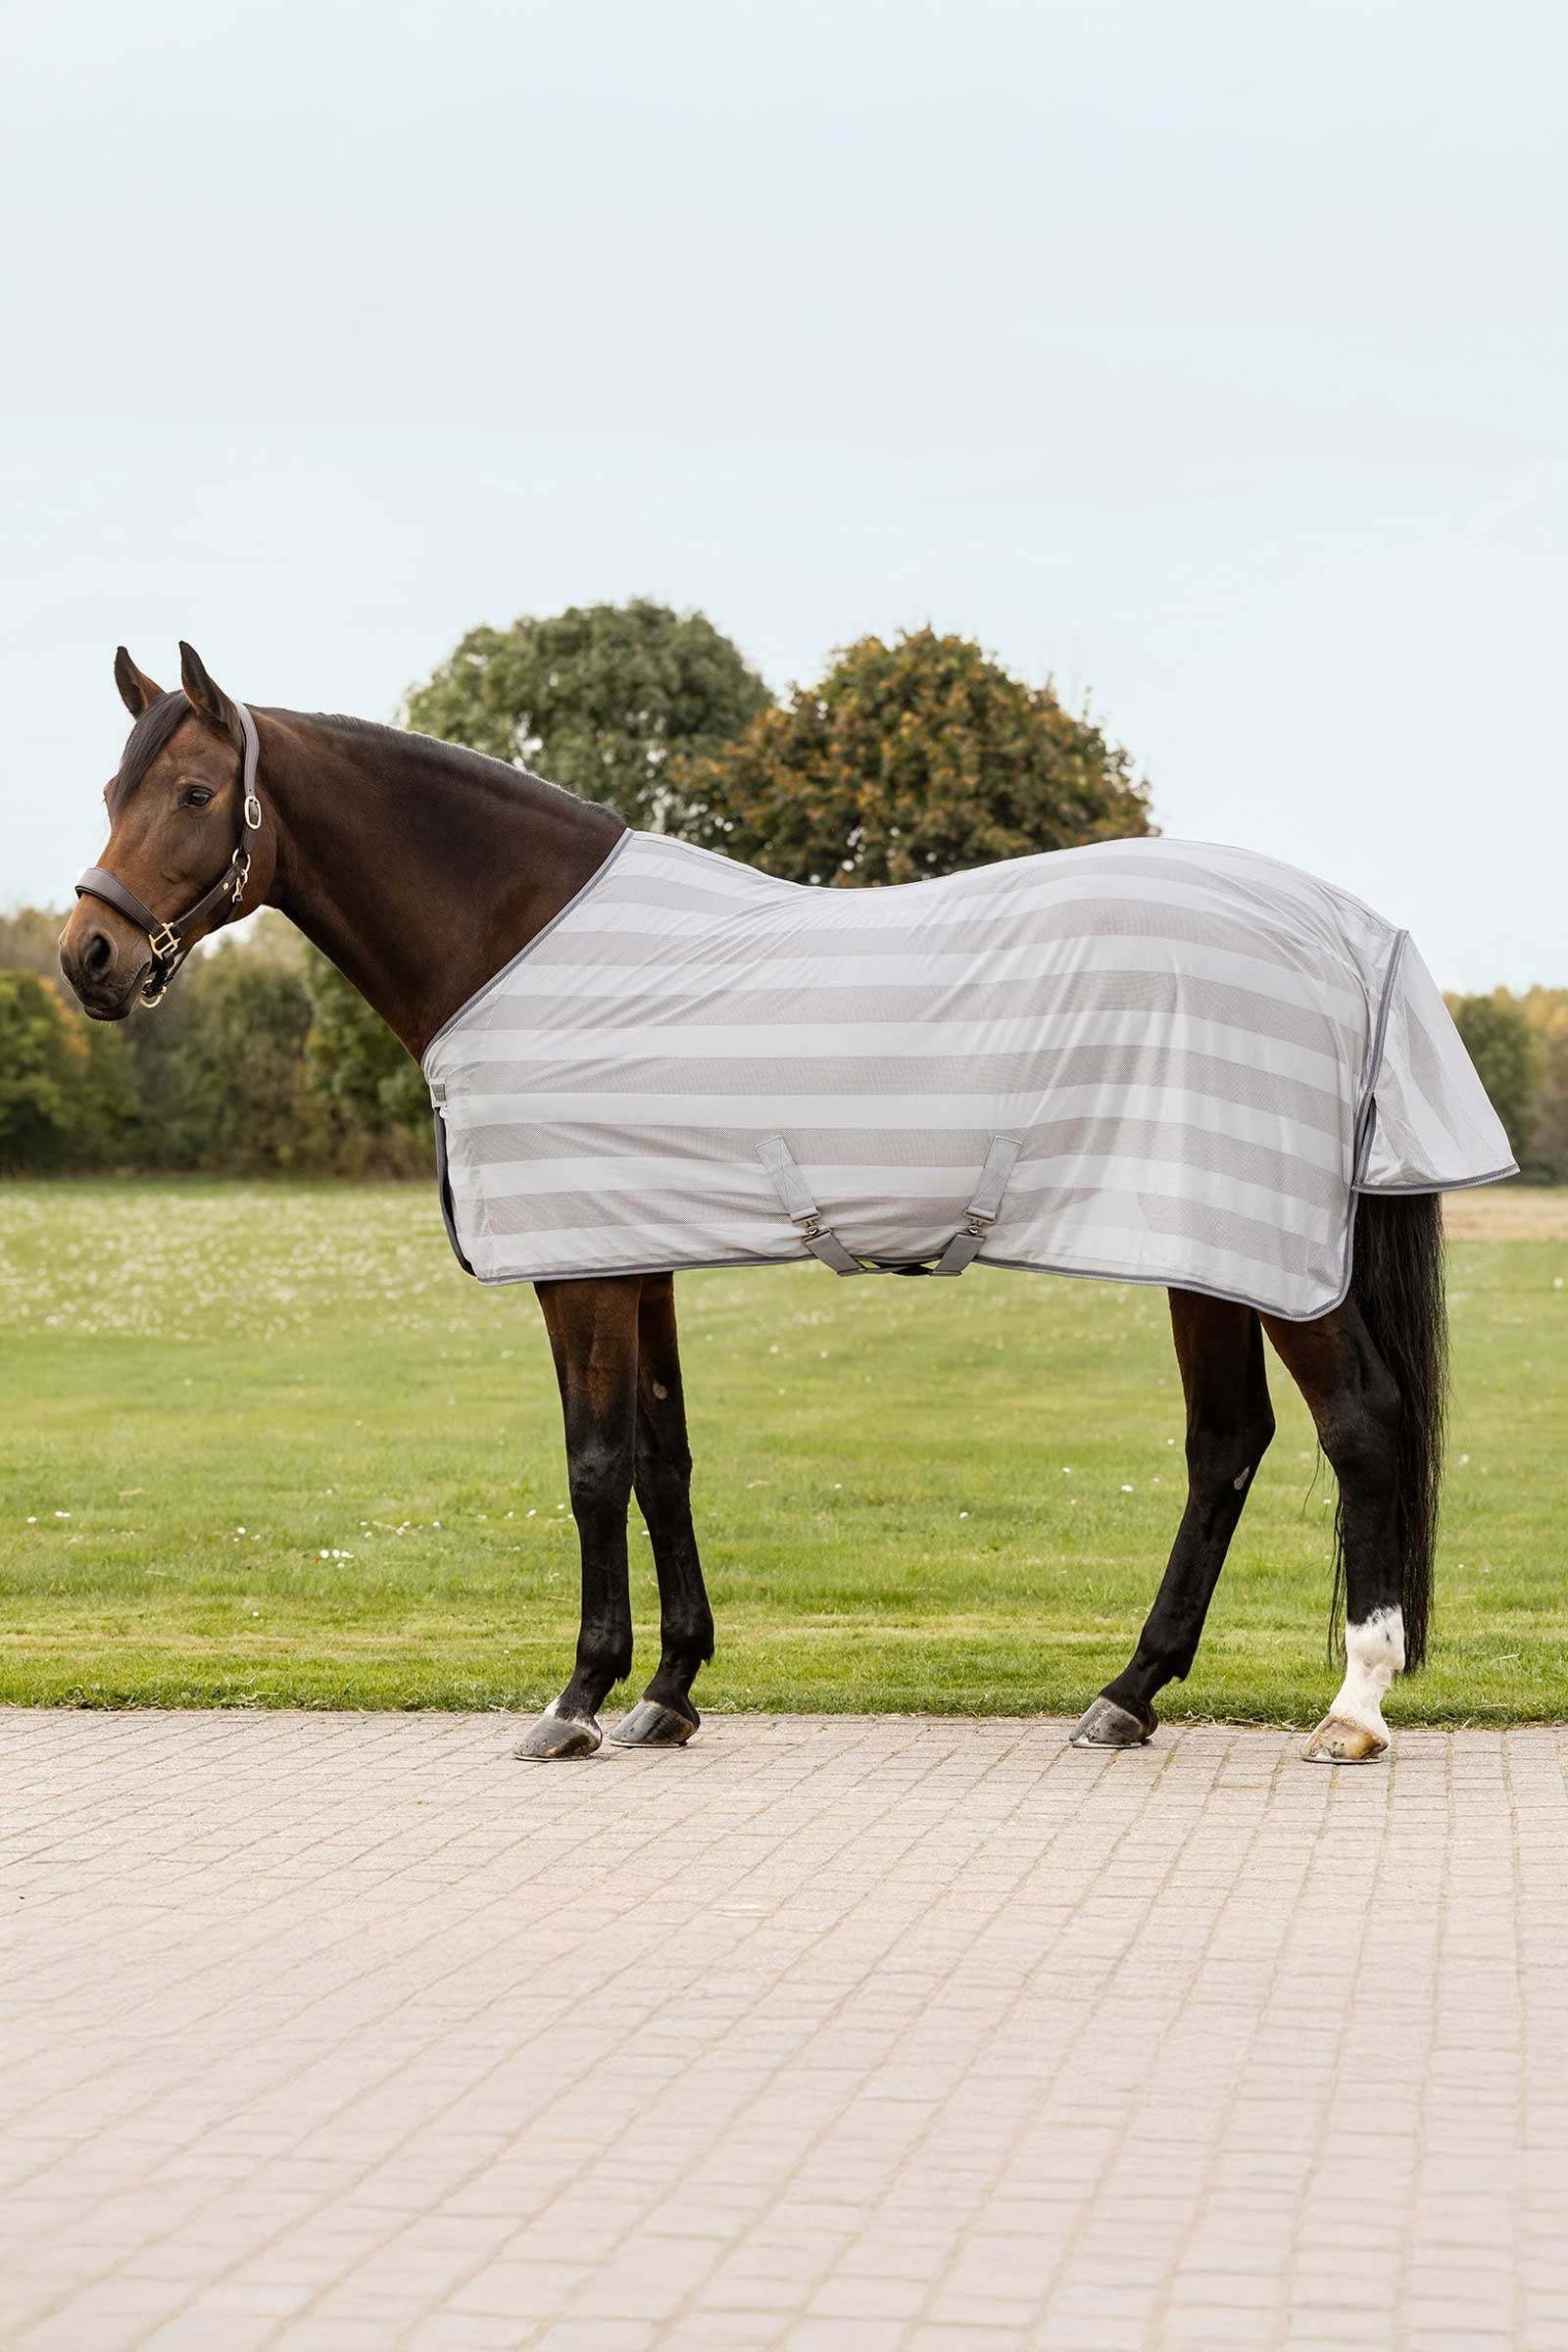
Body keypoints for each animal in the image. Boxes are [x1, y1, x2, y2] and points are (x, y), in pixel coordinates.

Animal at [59, 643, 1497, 1765]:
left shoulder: (581, 1267)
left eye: (195, 791)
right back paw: (1127, 1695)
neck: (519, 934)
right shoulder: (635, 1253)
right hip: (1204, 1249)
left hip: (1266, 1256)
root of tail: (1357, 939)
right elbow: (662, 1460)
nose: (90, 956)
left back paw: (1353, 1709)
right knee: (1227, 1445)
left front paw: (576, 1698)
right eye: (113, 788)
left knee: (1360, 1426)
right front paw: (668, 1693)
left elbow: (592, 1467)